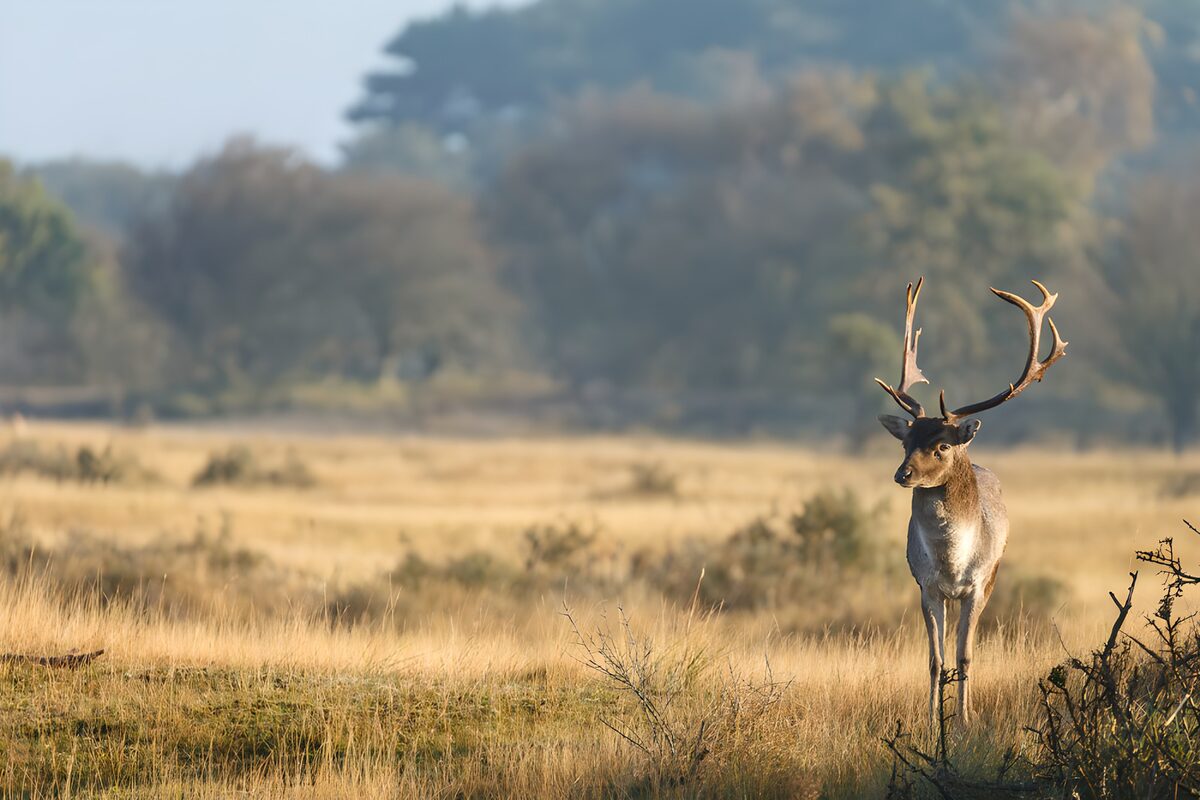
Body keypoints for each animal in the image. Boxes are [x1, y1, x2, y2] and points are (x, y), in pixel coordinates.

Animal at [874, 277, 1067, 730]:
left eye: (942, 445)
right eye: (906, 441)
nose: (902, 474)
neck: (952, 561)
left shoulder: (977, 587)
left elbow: (964, 656)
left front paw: (963, 720)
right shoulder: (926, 586)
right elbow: (935, 659)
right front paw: (932, 720)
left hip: (993, 578)